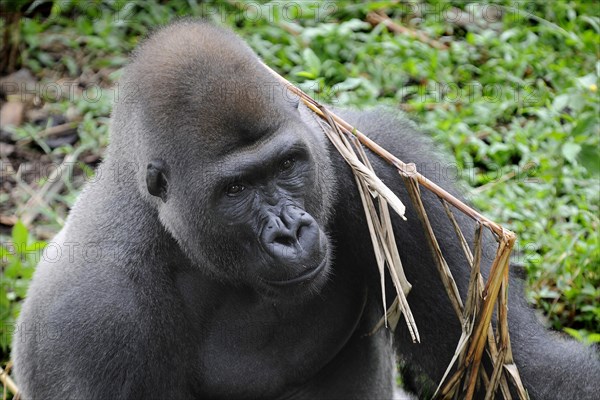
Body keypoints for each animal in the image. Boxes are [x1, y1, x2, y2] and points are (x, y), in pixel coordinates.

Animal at [10, 19, 600, 400]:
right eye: (236, 190)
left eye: (288, 164)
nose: (290, 232)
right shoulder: (90, 317)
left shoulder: (380, 166)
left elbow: (514, 369)